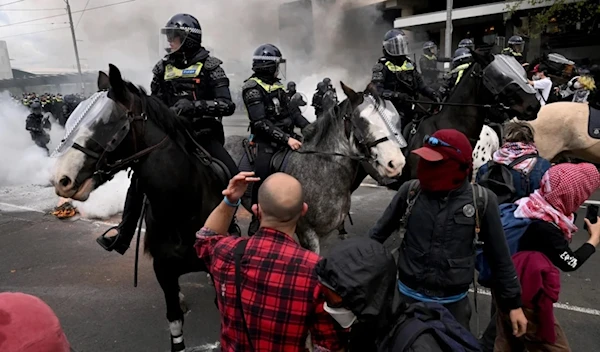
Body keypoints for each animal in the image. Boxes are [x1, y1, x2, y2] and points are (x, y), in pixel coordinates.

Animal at [51, 64, 406, 350]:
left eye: (392, 118)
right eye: (361, 121)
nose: (397, 164)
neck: (321, 165)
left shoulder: (327, 234)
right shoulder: (308, 233)